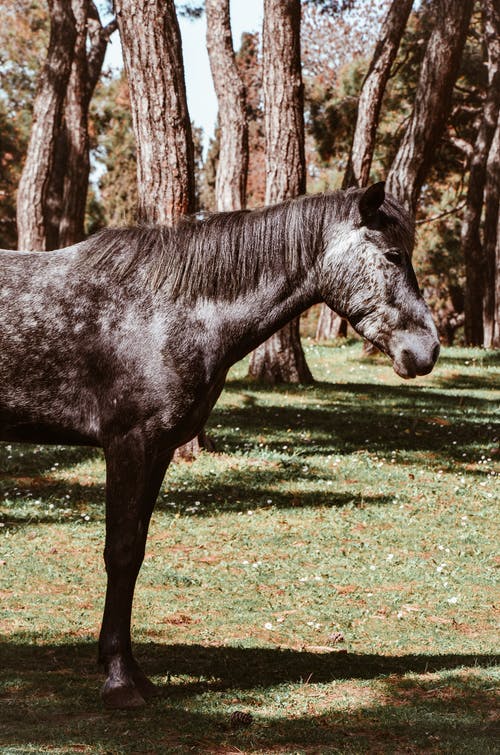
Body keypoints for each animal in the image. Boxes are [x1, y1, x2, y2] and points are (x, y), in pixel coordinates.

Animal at [0, 183, 438, 708]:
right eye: (393, 255)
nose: (427, 350)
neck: (167, 308)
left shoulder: (158, 451)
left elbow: (136, 553)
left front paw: (129, 670)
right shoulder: (129, 445)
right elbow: (120, 553)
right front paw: (120, 680)